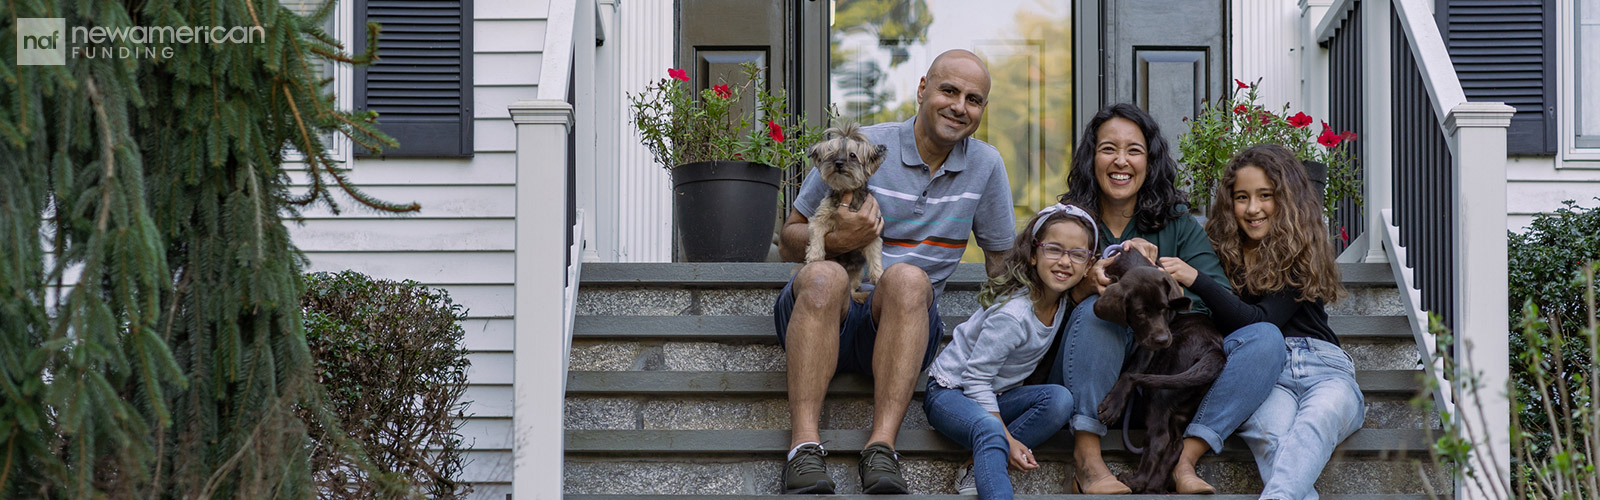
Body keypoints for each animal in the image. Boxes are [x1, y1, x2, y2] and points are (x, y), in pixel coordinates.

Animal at [1094, 248, 1228, 493]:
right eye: (1140, 312)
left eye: (1165, 309)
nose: (1164, 340)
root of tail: (1214, 351)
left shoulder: (1146, 349)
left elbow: (1130, 371)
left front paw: (1112, 406)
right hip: (1182, 404)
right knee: (1176, 445)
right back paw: (1154, 487)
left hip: (1159, 391)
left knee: (1159, 439)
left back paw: (1135, 481)